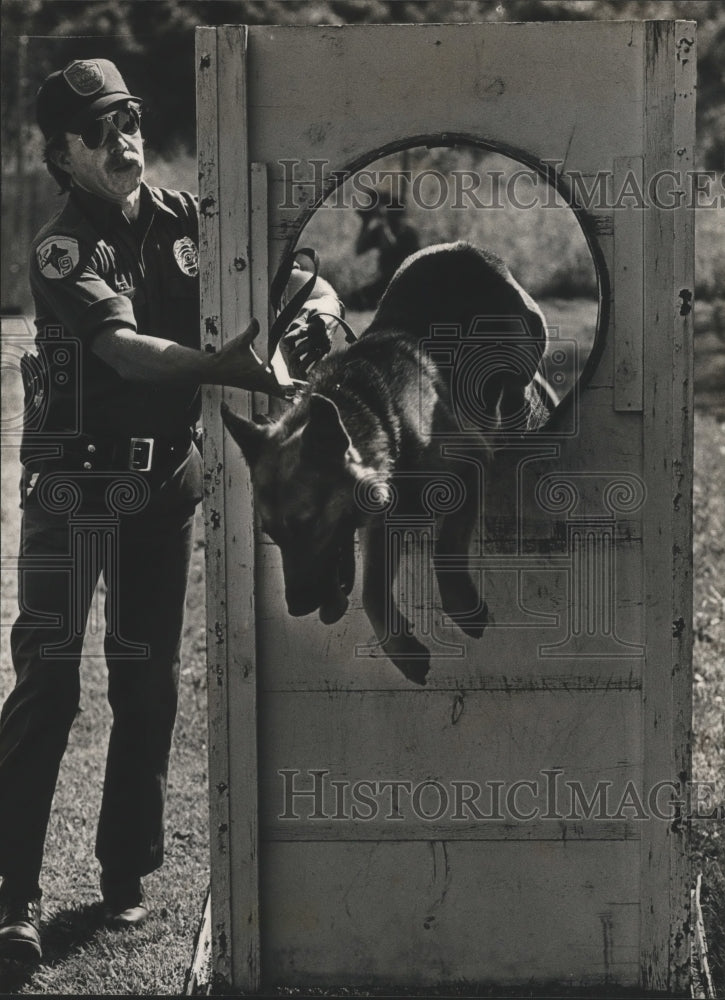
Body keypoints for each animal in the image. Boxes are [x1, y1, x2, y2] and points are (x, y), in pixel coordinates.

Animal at [223, 238, 544, 684]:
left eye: (307, 523)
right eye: (272, 533)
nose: (298, 608)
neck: (372, 407)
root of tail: (461, 247)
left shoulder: (469, 463)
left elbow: (445, 549)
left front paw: (461, 606)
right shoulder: (381, 519)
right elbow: (372, 588)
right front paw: (403, 652)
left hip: (523, 351)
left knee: (515, 388)